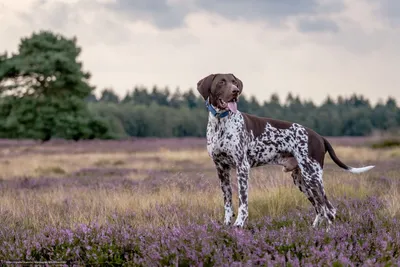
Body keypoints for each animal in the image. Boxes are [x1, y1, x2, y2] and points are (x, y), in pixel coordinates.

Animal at [198, 73, 376, 228]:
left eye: (234, 82)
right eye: (221, 82)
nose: (235, 91)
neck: (220, 123)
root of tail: (319, 137)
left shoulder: (242, 168)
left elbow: (243, 201)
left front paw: (239, 225)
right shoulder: (221, 169)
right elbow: (227, 201)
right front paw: (226, 225)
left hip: (313, 176)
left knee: (329, 209)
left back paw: (329, 234)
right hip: (302, 180)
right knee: (320, 209)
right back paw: (315, 231)